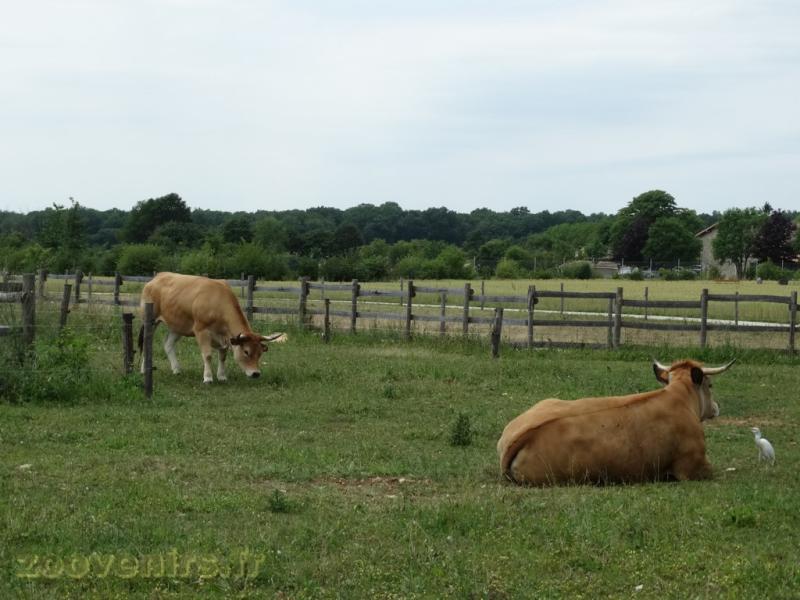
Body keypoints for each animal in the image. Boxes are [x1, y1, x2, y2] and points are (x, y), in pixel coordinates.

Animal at [138, 272, 286, 383]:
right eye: (246, 352)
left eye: (260, 353)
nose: (256, 373)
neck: (217, 301)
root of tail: (157, 277)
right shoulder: (201, 331)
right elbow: (208, 355)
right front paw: (208, 377)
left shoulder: (224, 336)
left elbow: (222, 356)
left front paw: (222, 376)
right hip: (150, 321)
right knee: (147, 342)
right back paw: (144, 369)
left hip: (178, 325)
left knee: (168, 344)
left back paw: (176, 369)